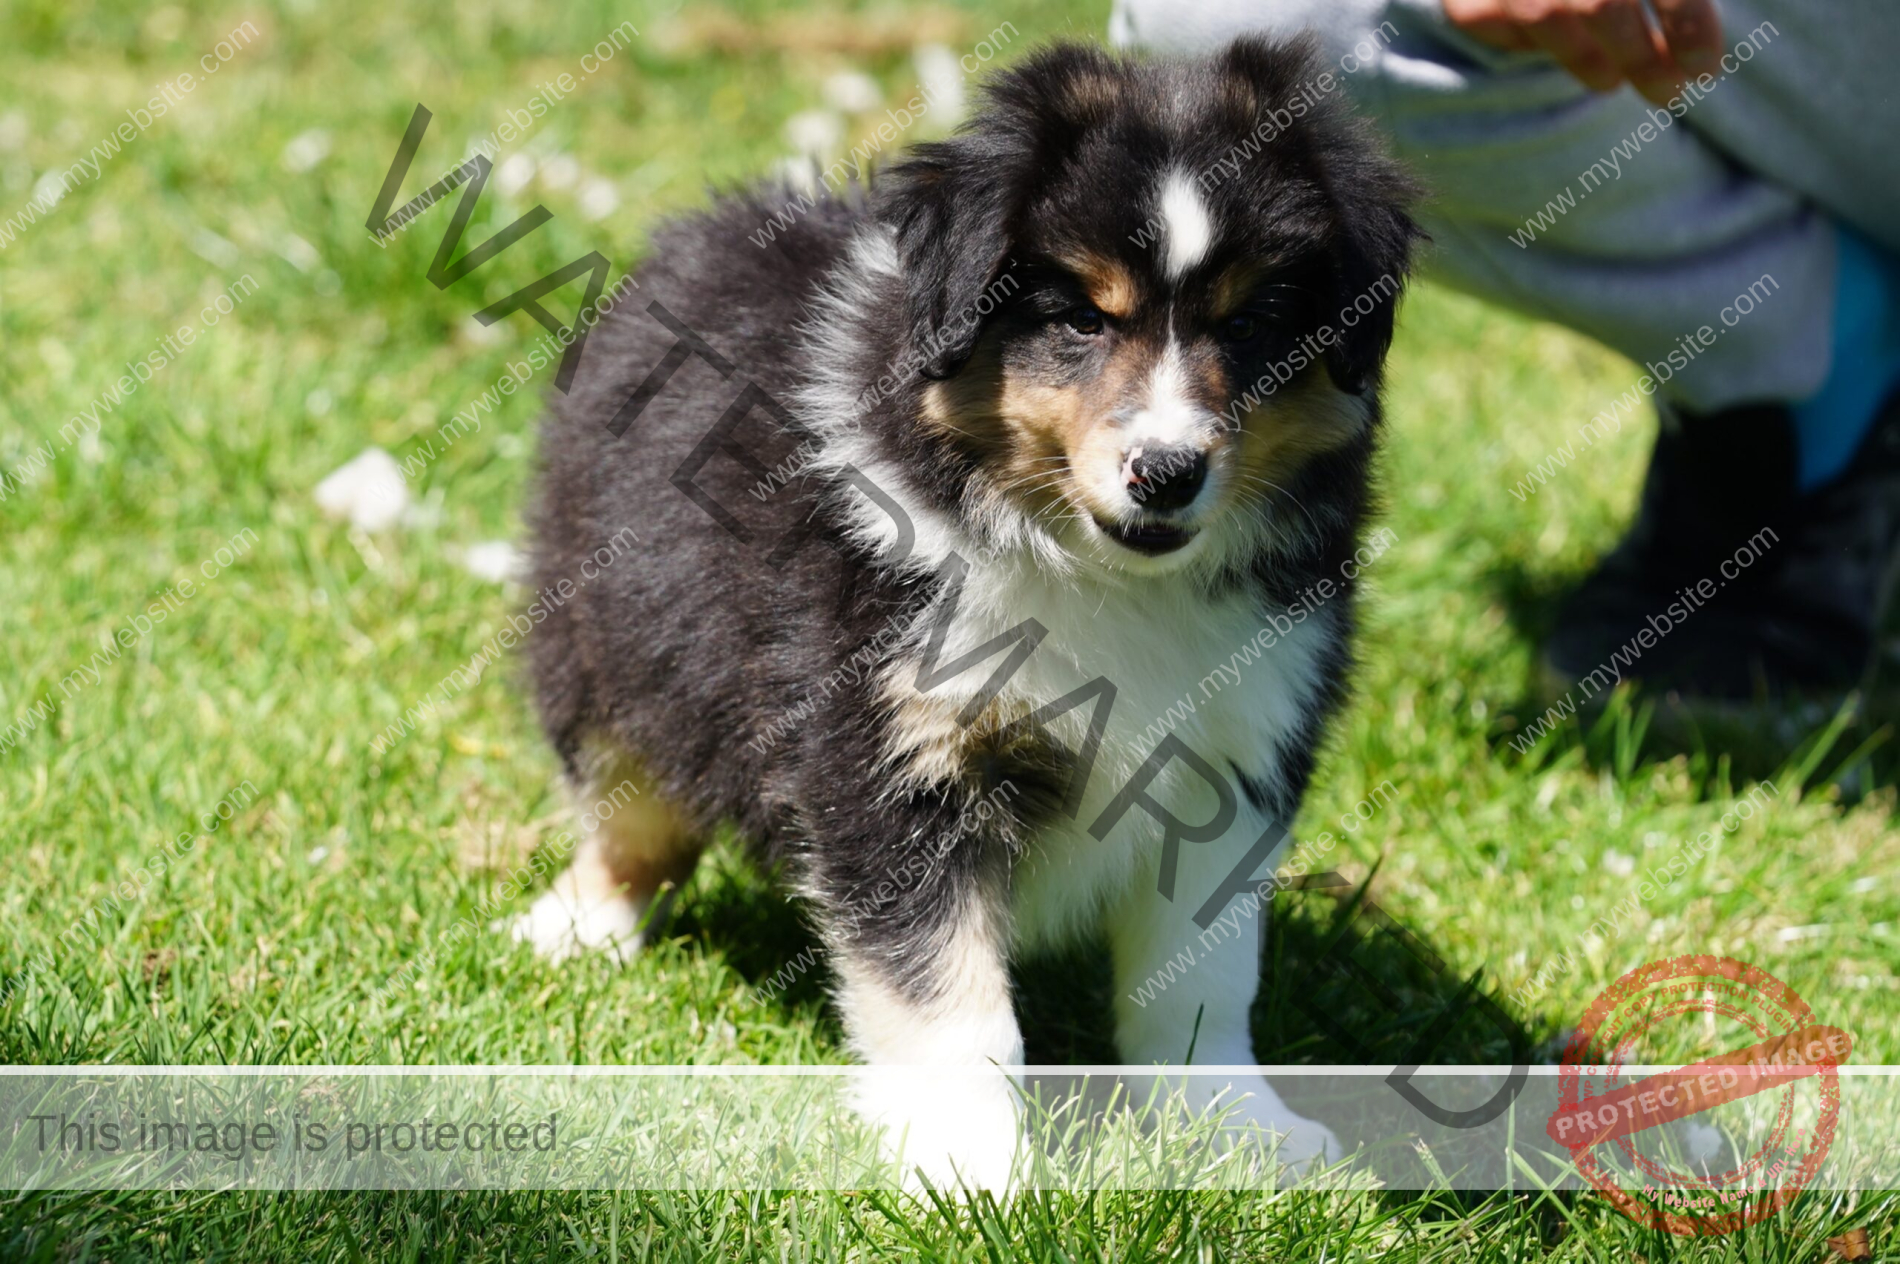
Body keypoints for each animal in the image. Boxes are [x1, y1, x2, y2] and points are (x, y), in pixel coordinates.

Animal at [516, 37, 1413, 1186]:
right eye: (1080, 317)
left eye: (1252, 323)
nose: (1166, 472)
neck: (1096, 574)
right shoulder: (893, 750)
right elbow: (948, 997)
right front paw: (969, 1169)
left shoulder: (1236, 749)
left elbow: (1204, 982)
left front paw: (1236, 1129)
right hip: (610, 629)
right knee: (629, 799)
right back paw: (579, 927)